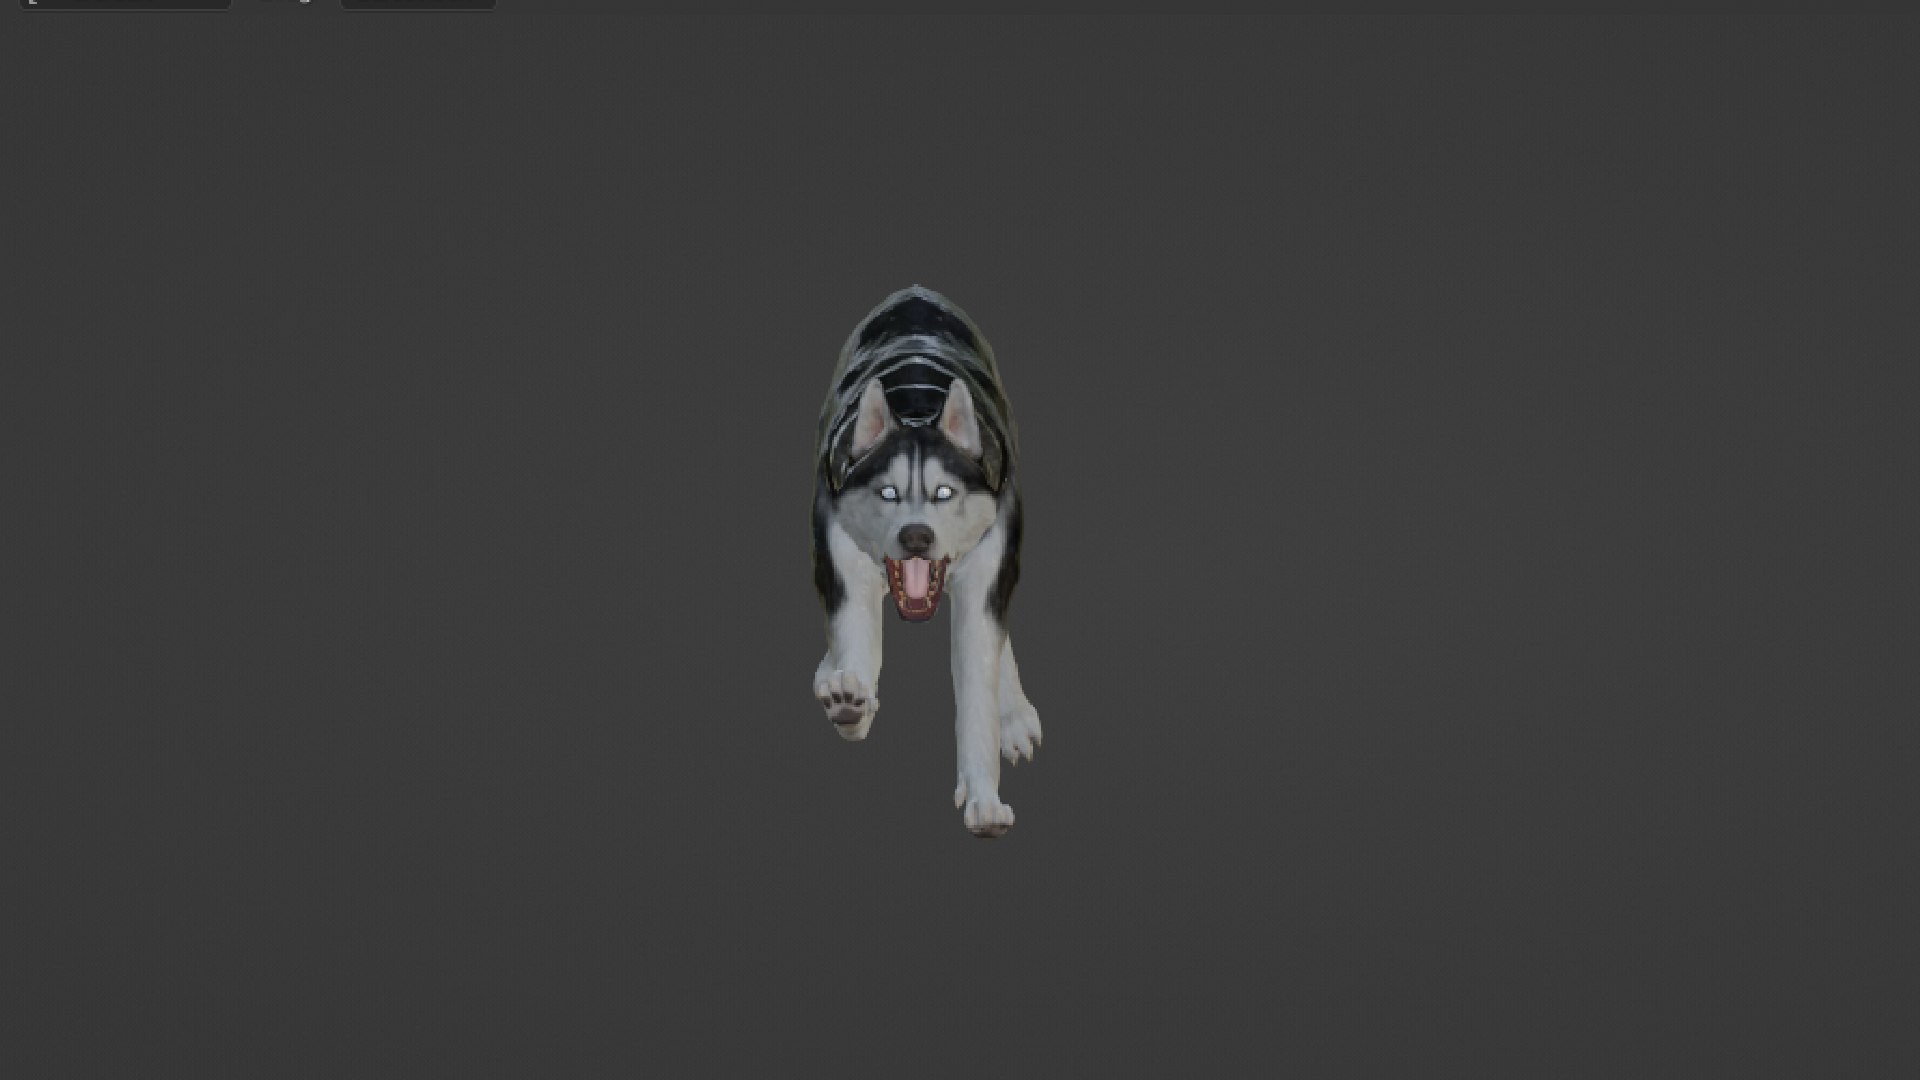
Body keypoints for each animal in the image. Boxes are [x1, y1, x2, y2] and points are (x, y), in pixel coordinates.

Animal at [810, 285, 1041, 839]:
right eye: (888, 492)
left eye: (944, 492)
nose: (916, 536)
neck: (916, 407)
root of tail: (914, 292)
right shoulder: (841, 560)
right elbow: (856, 642)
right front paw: (849, 704)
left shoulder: (987, 573)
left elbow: (979, 677)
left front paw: (983, 798)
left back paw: (1014, 712)